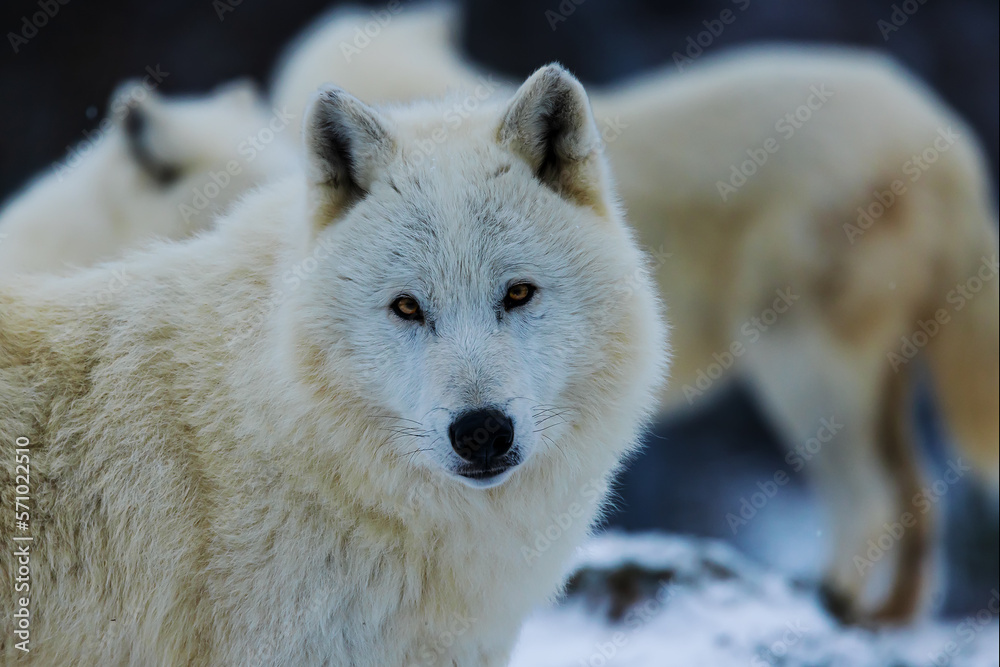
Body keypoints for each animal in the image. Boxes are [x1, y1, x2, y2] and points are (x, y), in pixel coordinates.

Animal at [271, 6, 999, 623]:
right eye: (407, 306)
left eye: (517, 294)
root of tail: (947, 138)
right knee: (920, 497)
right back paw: (887, 619)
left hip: (797, 369)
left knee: (870, 497)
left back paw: (836, 603)